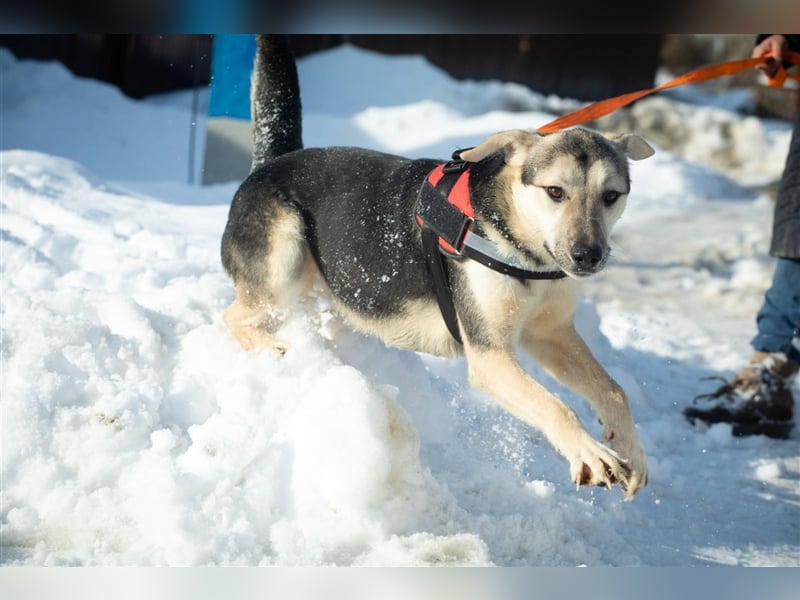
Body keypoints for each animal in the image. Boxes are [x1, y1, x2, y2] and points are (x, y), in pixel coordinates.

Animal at [217, 35, 648, 500]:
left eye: (611, 196)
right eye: (555, 192)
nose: (589, 254)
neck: (522, 248)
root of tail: (273, 161)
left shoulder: (550, 333)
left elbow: (613, 389)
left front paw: (629, 447)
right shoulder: (489, 355)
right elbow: (555, 404)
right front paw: (590, 453)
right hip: (284, 261)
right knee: (233, 315)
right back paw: (272, 349)